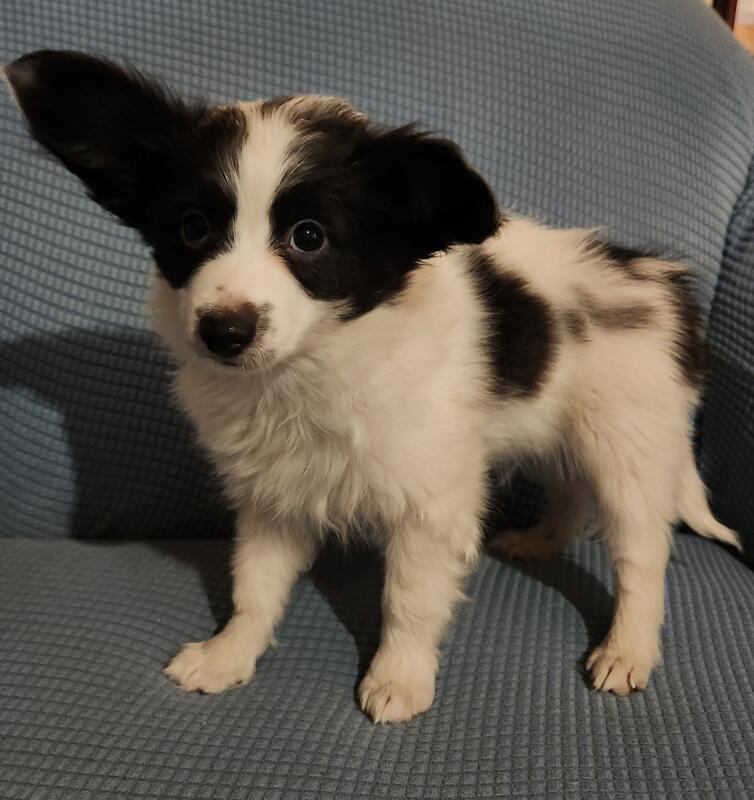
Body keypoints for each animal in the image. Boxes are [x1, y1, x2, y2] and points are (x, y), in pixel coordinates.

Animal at [4, 50, 741, 723]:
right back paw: (539, 541)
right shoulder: (273, 495)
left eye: (308, 238)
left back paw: (628, 650)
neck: (312, 366)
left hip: (629, 446)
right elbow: (254, 585)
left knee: (642, 553)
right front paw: (229, 655)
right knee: (568, 488)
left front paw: (400, 680)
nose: (223, 332)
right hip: (551, 426)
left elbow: (408, 599)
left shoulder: (430, 502)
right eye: (192, 228)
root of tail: (662, 284)